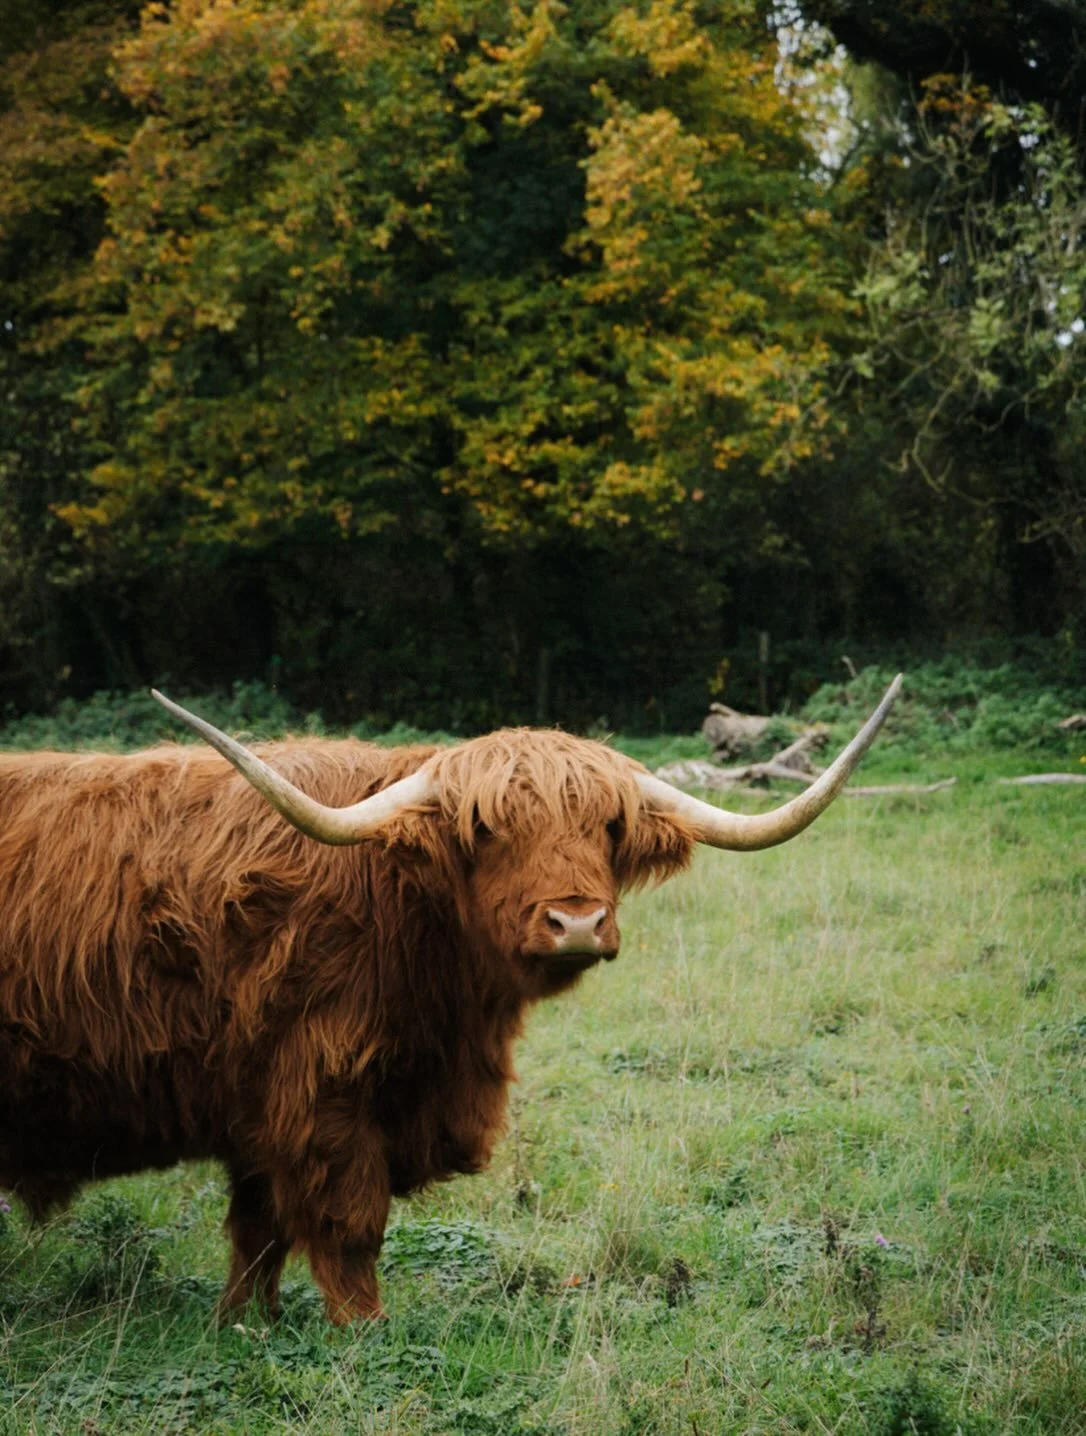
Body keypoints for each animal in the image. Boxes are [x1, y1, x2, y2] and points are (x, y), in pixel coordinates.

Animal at [0, 676, 900, 1323]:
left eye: (608, 827)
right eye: (488, 830)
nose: (577, 921)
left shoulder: (262, 1108)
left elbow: (258, 1231)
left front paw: (245, 1324)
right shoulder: (319, 1091)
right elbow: (346, 1224)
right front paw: (360, 1330)